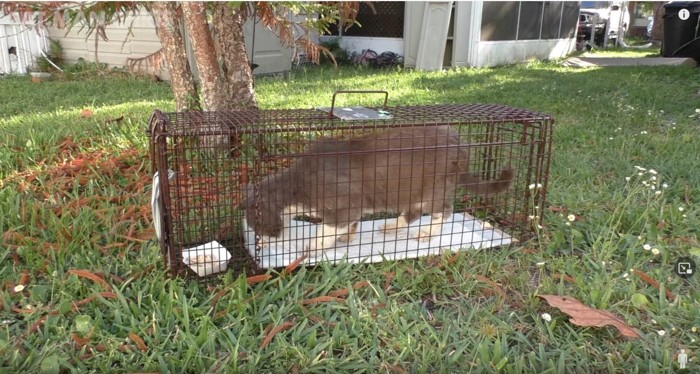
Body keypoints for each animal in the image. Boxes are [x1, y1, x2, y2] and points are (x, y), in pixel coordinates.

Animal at [242, 125, 516, 258]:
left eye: (256, 228)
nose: (259, 245)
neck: (297, 186)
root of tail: (462, 144)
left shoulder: (343, 205)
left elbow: (327, 229)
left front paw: (313, 247)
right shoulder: (354, 206)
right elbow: (352, 223)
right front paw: (347, 237)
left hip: (436, 187)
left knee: (443, 211)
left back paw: (426, 233)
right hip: (413, 190)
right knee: (413, 211)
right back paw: (392, 227)